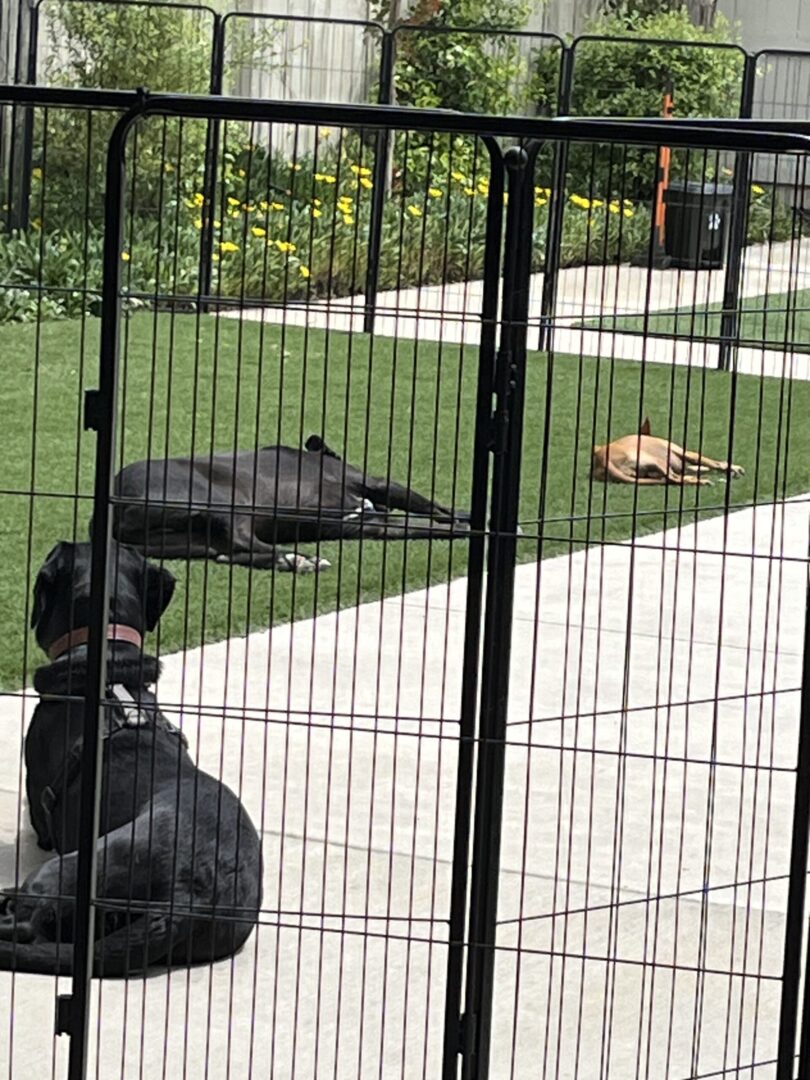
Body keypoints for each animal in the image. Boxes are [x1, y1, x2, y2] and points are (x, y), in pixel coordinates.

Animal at [111, 432, 473, 574]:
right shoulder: (373, 483)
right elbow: (430, 508)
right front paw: (465, 523)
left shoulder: (371, 525)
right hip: (223, 500)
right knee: (240, 539)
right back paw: (301, 559)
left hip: (188, 541)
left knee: (229, 552)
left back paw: (290, 561)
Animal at [591, 419, 747, 488]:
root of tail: (603, 460)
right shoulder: (686, 453)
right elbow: (713, 462)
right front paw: (732, 468)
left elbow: (700, 467)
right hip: (656, 460)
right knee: (674, 478)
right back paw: (699, 481)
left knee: (670, 478)